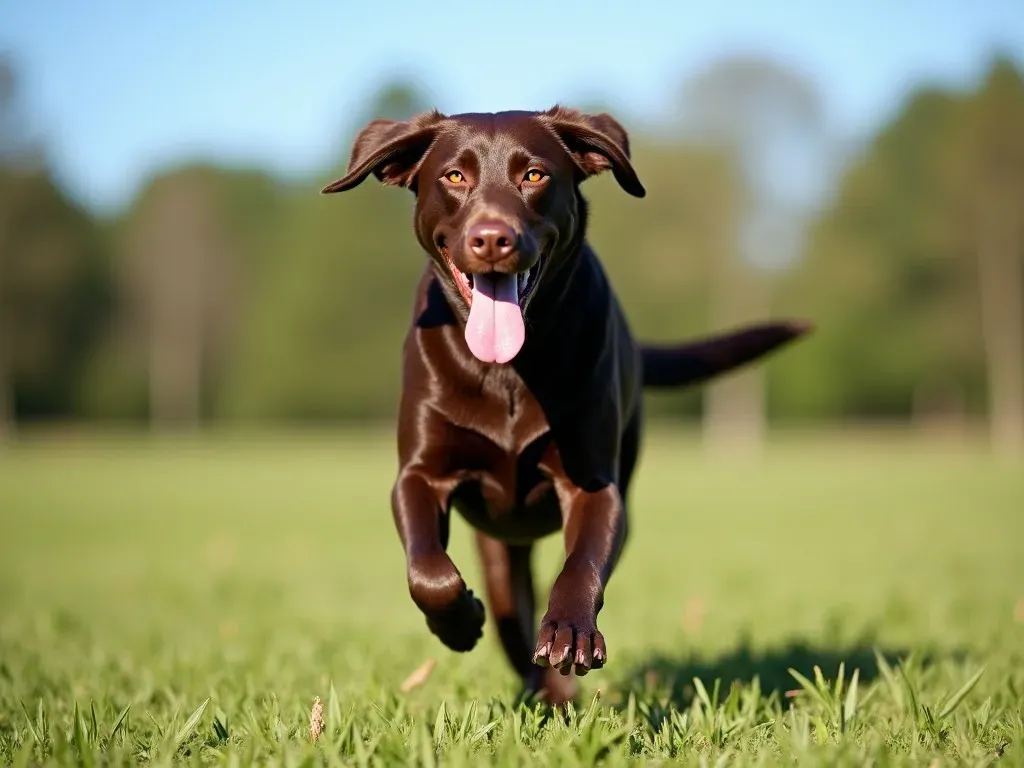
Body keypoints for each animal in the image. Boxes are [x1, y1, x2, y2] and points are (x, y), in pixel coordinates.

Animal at [319, 105, 806, 708]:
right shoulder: (419, 475)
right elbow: (428, 570)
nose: (492, 239)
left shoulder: (594, 484)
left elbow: (581, 565)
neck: (508, 368)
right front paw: (459, 621)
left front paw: (571, 633)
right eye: (454, 176)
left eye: (534, 175)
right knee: (510, 618)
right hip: (501, 551)